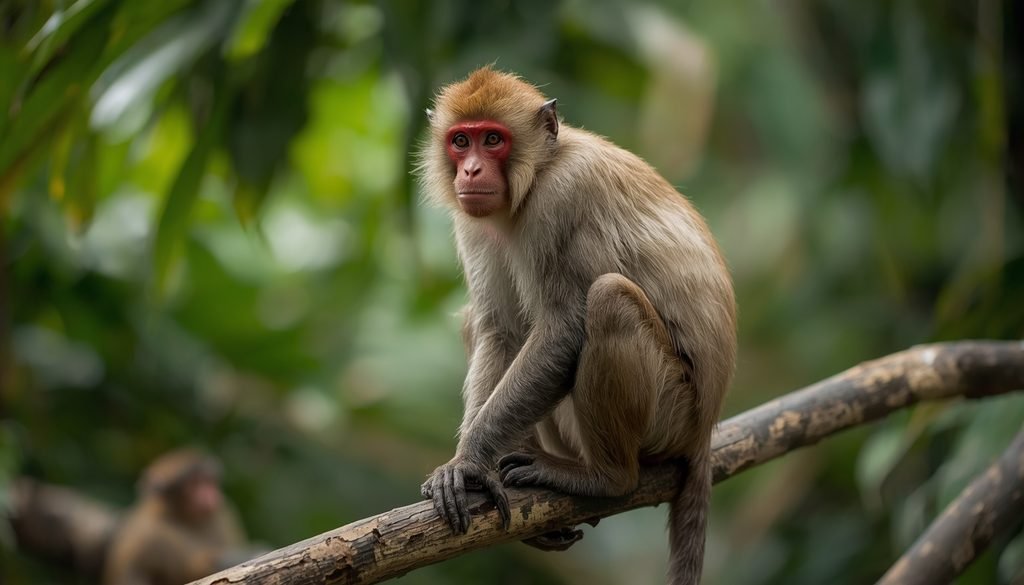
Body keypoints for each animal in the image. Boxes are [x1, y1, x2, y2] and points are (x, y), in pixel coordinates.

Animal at [102, 449, 255, 585]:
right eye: (194, 484)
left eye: (208, 481)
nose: (210, 494)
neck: (185, 518)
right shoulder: (145, 537)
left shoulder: (224, 511)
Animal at [418, 67, 736, 585]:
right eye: (460, 141)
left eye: (493, 140)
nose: (470, 172)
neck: (536, 175)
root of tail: (704, 428)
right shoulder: (473, 221)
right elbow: (500, 330)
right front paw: (476, 468)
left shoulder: (561, 199)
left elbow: (563, 331)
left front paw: (467, 464)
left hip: (672, 414)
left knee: (608, 301)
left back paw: (606, 478)